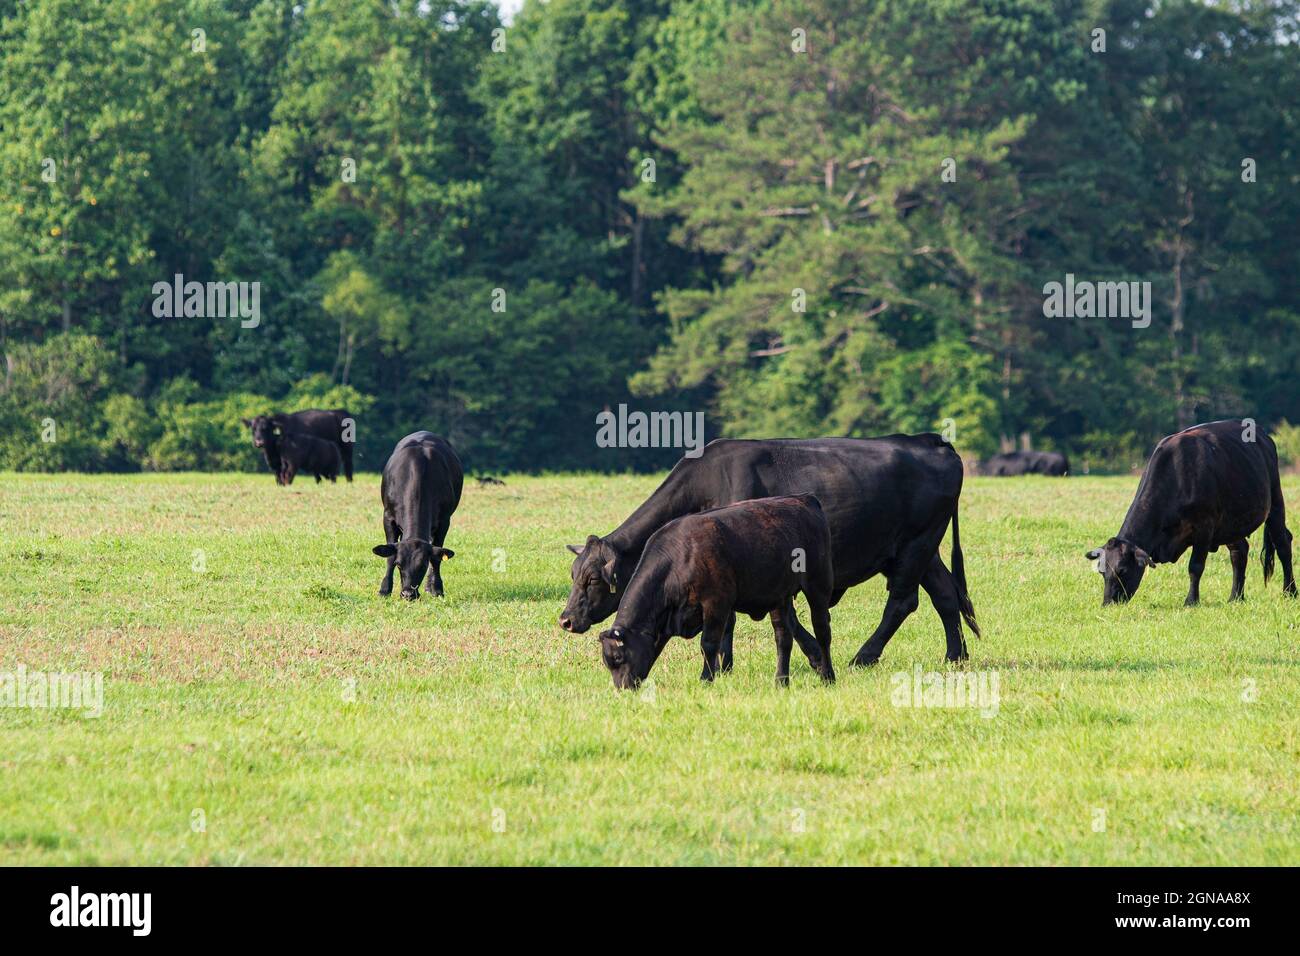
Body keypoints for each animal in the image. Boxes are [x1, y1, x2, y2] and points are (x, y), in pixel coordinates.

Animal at [372, 431, 463, 601]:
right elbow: (389, 556)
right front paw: (384, 590)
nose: (408, 594)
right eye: (399, 564)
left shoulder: (444, 521)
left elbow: (436, 557)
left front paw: (437, 589)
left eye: (422, 566)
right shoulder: (387, 517)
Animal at [598, 495, 836, 689]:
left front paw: (706, 679)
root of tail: (804, 499)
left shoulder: (716, 604)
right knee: (783, 637)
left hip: (818, 586)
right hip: (780, 597)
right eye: (608, 662)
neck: (682, 556)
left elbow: (709, 644)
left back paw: (828, 676)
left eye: (618, 657)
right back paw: (781, 681)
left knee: (822, 630)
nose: (623, 688)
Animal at [1085, 419, 1296, 606]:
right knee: (1239, 552)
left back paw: (1290, 592)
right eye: (1102, 572)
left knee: (1283, 544)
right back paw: (1236, 597)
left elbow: (1195, 566)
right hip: (1231, 522)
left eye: (1121, 570)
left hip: (1275, 501)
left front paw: (1191, 601)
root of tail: (1263, 435)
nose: (1108, 603)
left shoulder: (1204, 526)